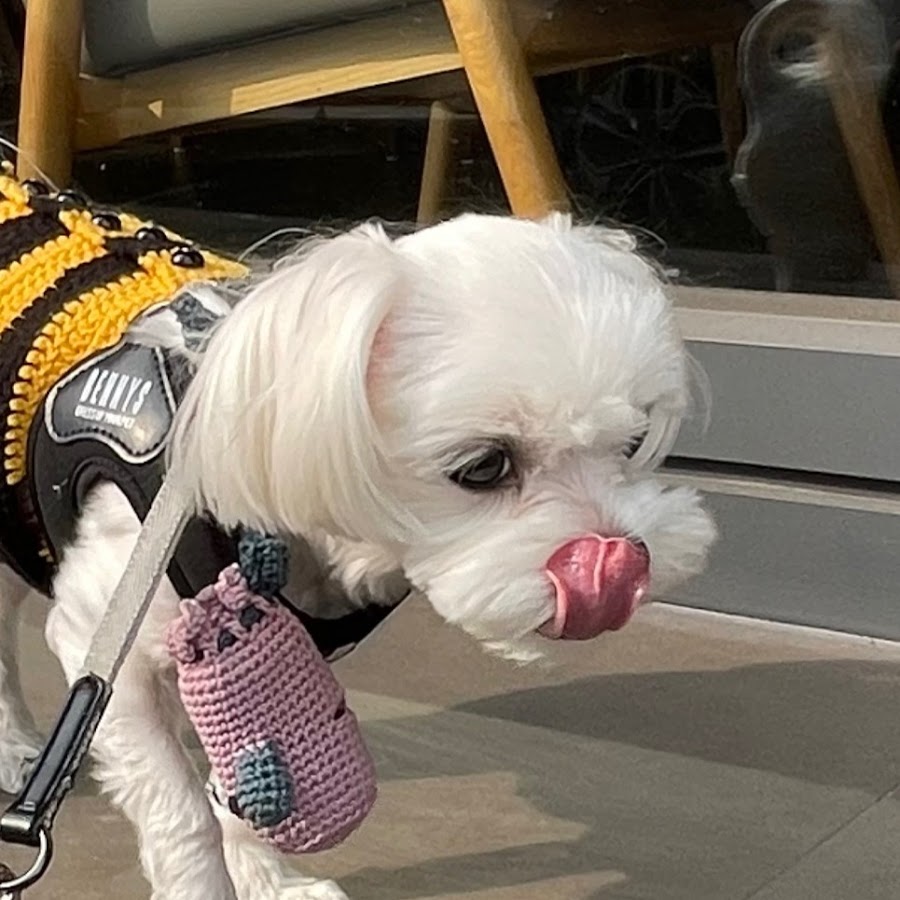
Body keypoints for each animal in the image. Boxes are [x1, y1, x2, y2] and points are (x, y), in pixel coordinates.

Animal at [0, 169, 715, 900]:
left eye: (633, 440)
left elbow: (244, 794)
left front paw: (272, 883)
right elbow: (183, 814)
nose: (621, 564)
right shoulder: (104, 648)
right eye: (484, 466)